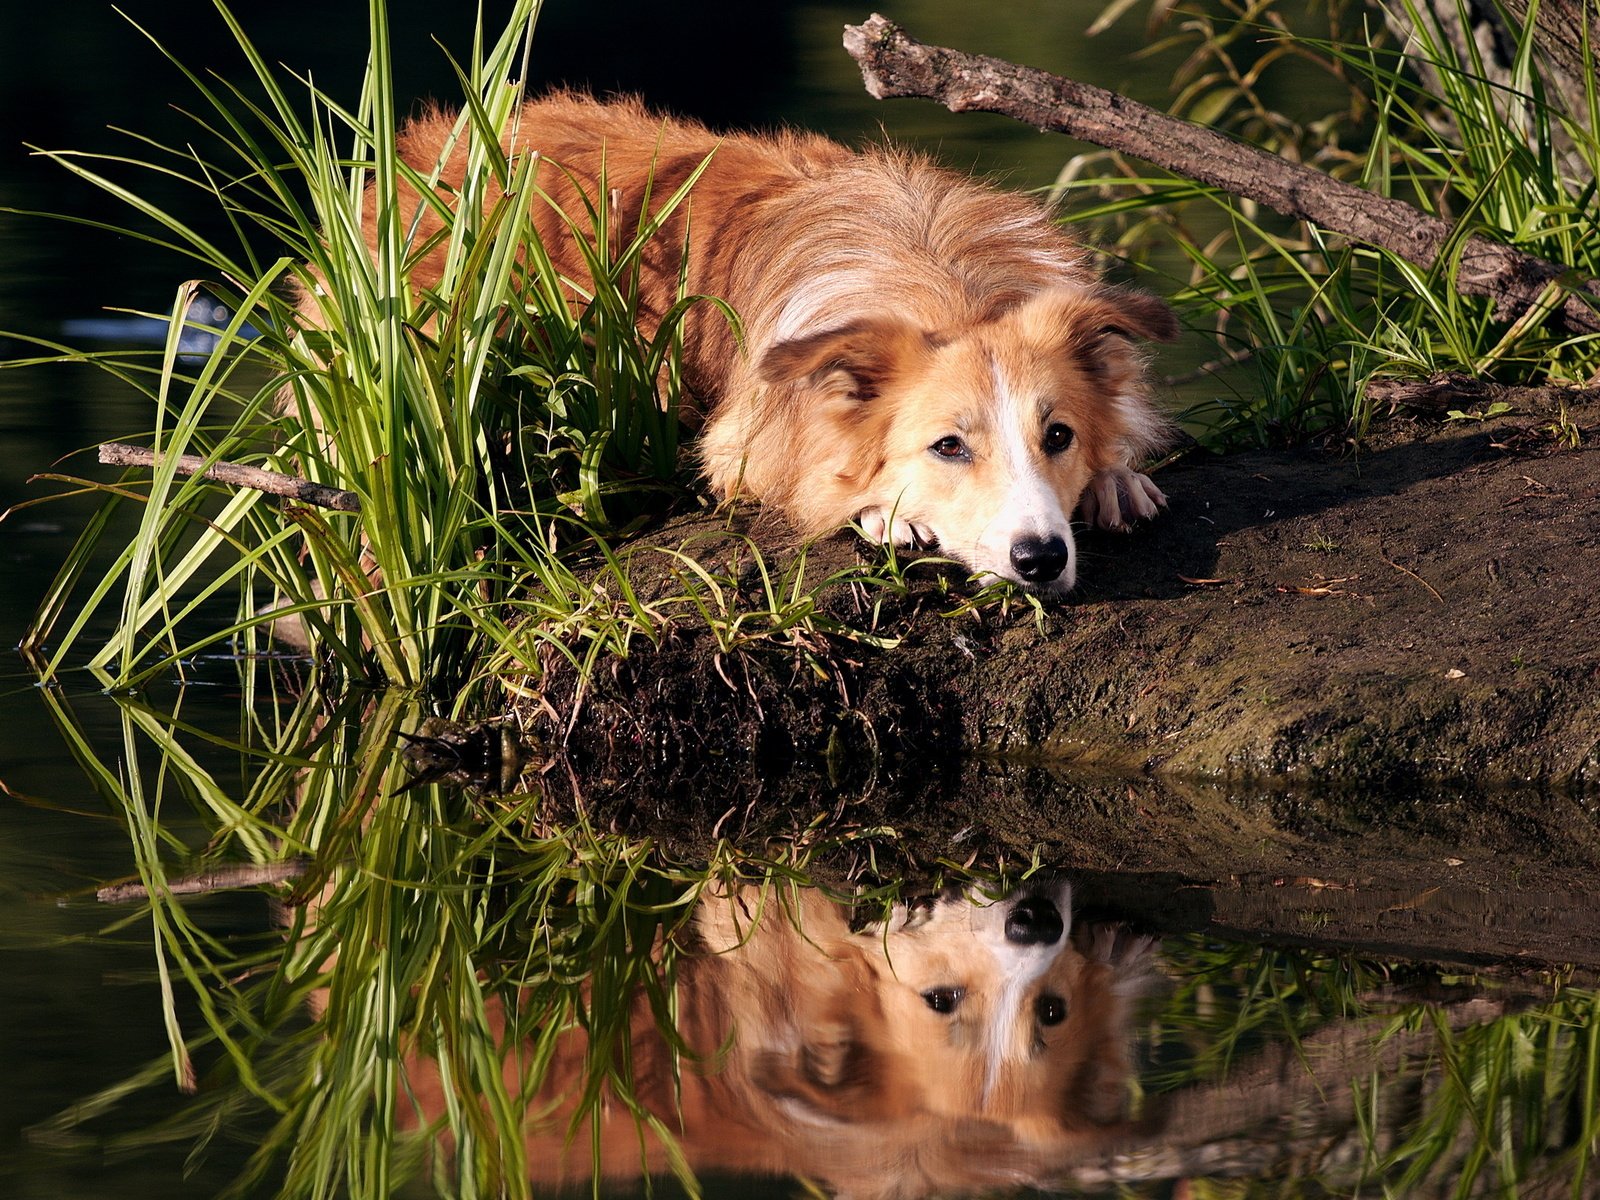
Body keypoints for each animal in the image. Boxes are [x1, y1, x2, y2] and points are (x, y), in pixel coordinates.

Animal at [353, 96, 1177, 595]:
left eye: (1059, 435)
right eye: (948, 447)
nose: (1042, 560)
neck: (944, 280)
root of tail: (429, 144)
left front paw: (1115, 477)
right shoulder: (739, 446)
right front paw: (888, 514)